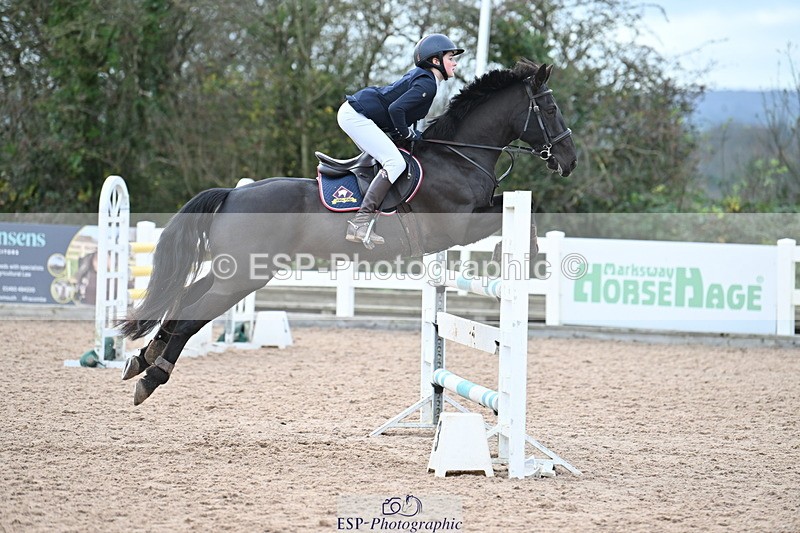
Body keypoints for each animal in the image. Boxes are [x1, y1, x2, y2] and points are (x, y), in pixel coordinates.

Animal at [119, 59, 577, 405]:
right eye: (551, 108)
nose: (569, 161)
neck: (460, 156)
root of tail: (233, 193)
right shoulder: (460, 222)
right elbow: (519, 215)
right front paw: (523, 261)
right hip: (245, 276)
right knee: (191, 315)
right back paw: (152, 376)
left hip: (235, 271)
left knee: (185, 299)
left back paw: (142, 358)